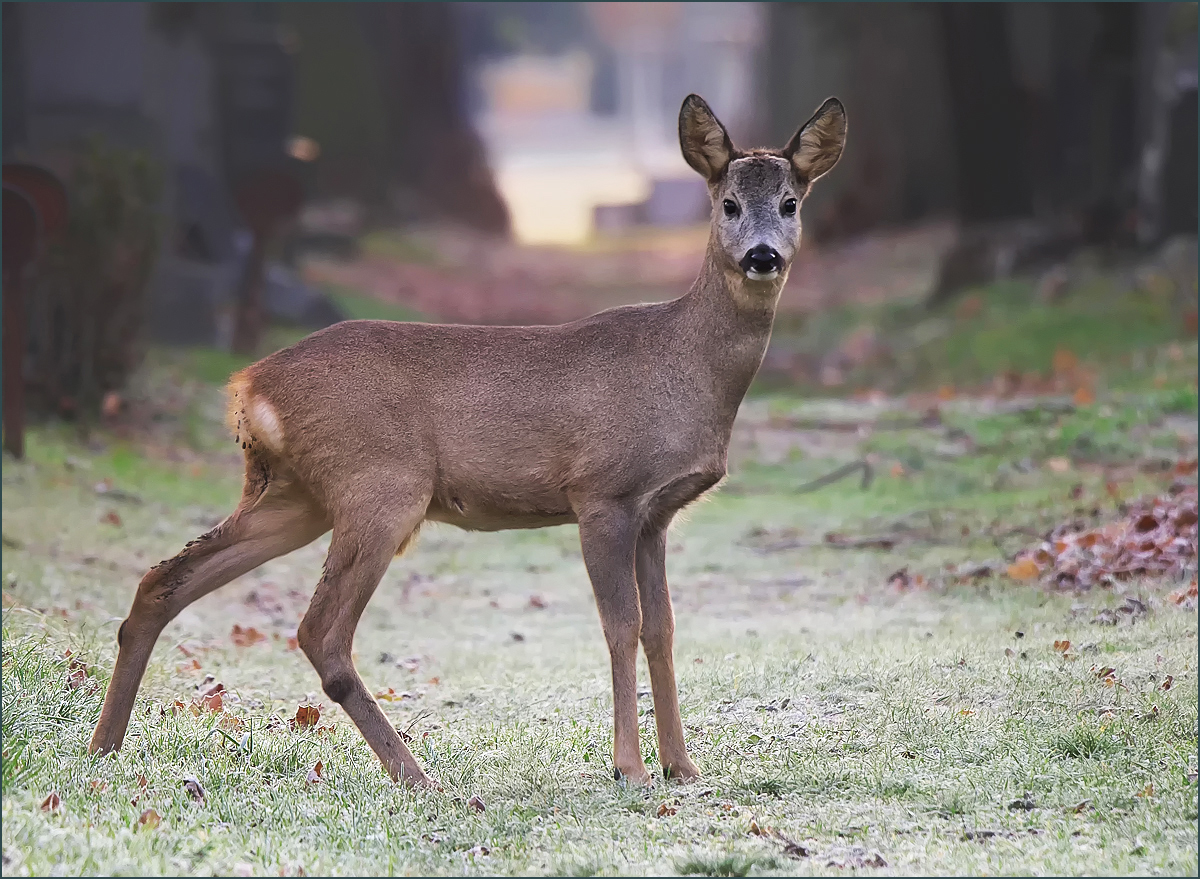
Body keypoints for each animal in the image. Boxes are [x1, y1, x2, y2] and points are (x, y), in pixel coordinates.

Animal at [91, 94, 844, 787]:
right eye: (728, 205)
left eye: (789, 203)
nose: (762, 257)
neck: (684, 368)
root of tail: (248, 386)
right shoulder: (602, 491)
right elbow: (620, 626)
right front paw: (629, 767)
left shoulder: (656, 513)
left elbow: (662, 628)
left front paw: (682, 766)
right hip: (382, 485)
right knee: (320, 631)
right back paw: (414, 772)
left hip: (294, 494)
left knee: (164, 579)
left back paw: (104, 747)